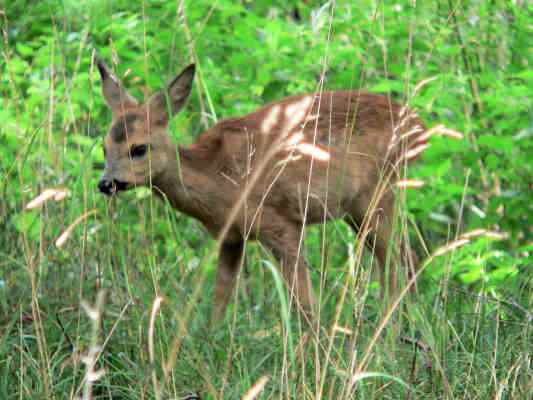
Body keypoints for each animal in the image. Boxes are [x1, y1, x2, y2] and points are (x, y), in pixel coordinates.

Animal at [96, 57, 428, 324]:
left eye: (139, 148)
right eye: (104, 146)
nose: (105, 183)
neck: (214, 176)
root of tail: (418, 126)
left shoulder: (281, 224)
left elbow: (306, 306)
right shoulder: (231, 237)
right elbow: (219, 300)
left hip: (376, 194)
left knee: (395, 264)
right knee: (405, 258)